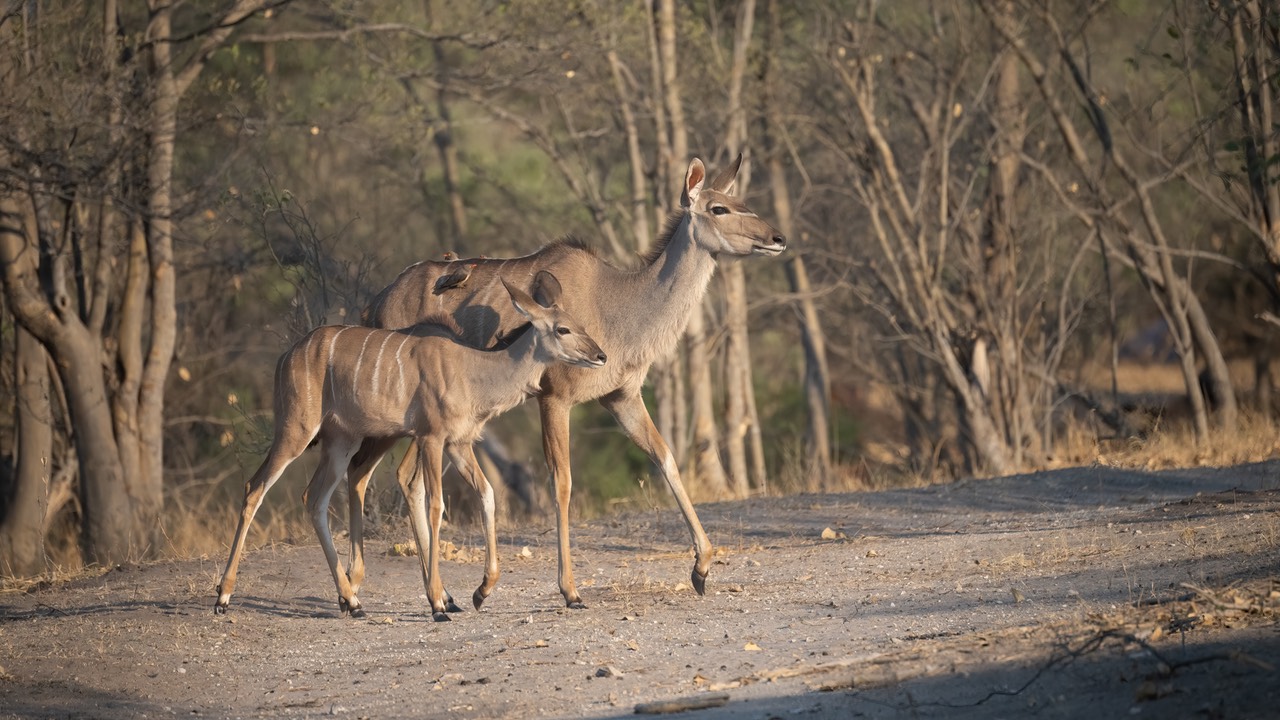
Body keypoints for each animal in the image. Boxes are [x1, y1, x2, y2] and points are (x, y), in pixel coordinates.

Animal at [215, 275, 604, 617]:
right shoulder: (431, 438)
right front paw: (437, 604)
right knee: (255, 488)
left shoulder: (459, 444)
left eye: (579, 324)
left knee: (315, 497)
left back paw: (352, 602)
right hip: (295, 431)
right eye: (562, 329)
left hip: (341, 441)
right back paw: (223, 597)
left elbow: (487, 493)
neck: (473, 371)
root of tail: (286, 357)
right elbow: (436, 506)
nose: (600, 356)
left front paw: (480, 592)